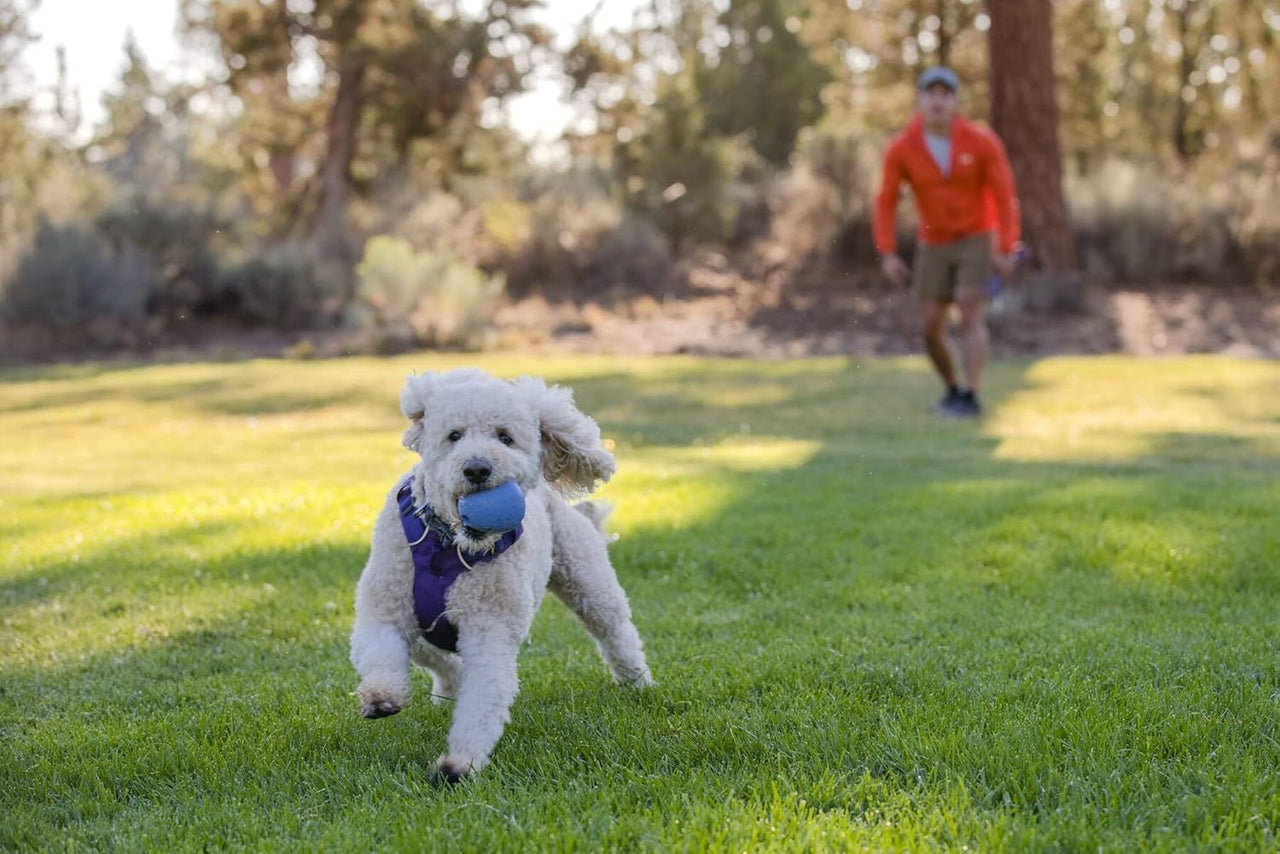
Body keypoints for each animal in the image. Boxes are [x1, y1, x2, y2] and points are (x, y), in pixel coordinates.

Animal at [348, 368, 650, 783]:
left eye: (505, 437)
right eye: (454, 435)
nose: (477, 468)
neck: (450, 547)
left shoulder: (489, 629)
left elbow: (484, 695)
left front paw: (460, 764)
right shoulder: (384, 607)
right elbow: (380, 652)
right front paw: (382, 696)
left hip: (588, 581)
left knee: (616, 631)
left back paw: (638, 682)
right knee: (434, 656)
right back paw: (447, 685)